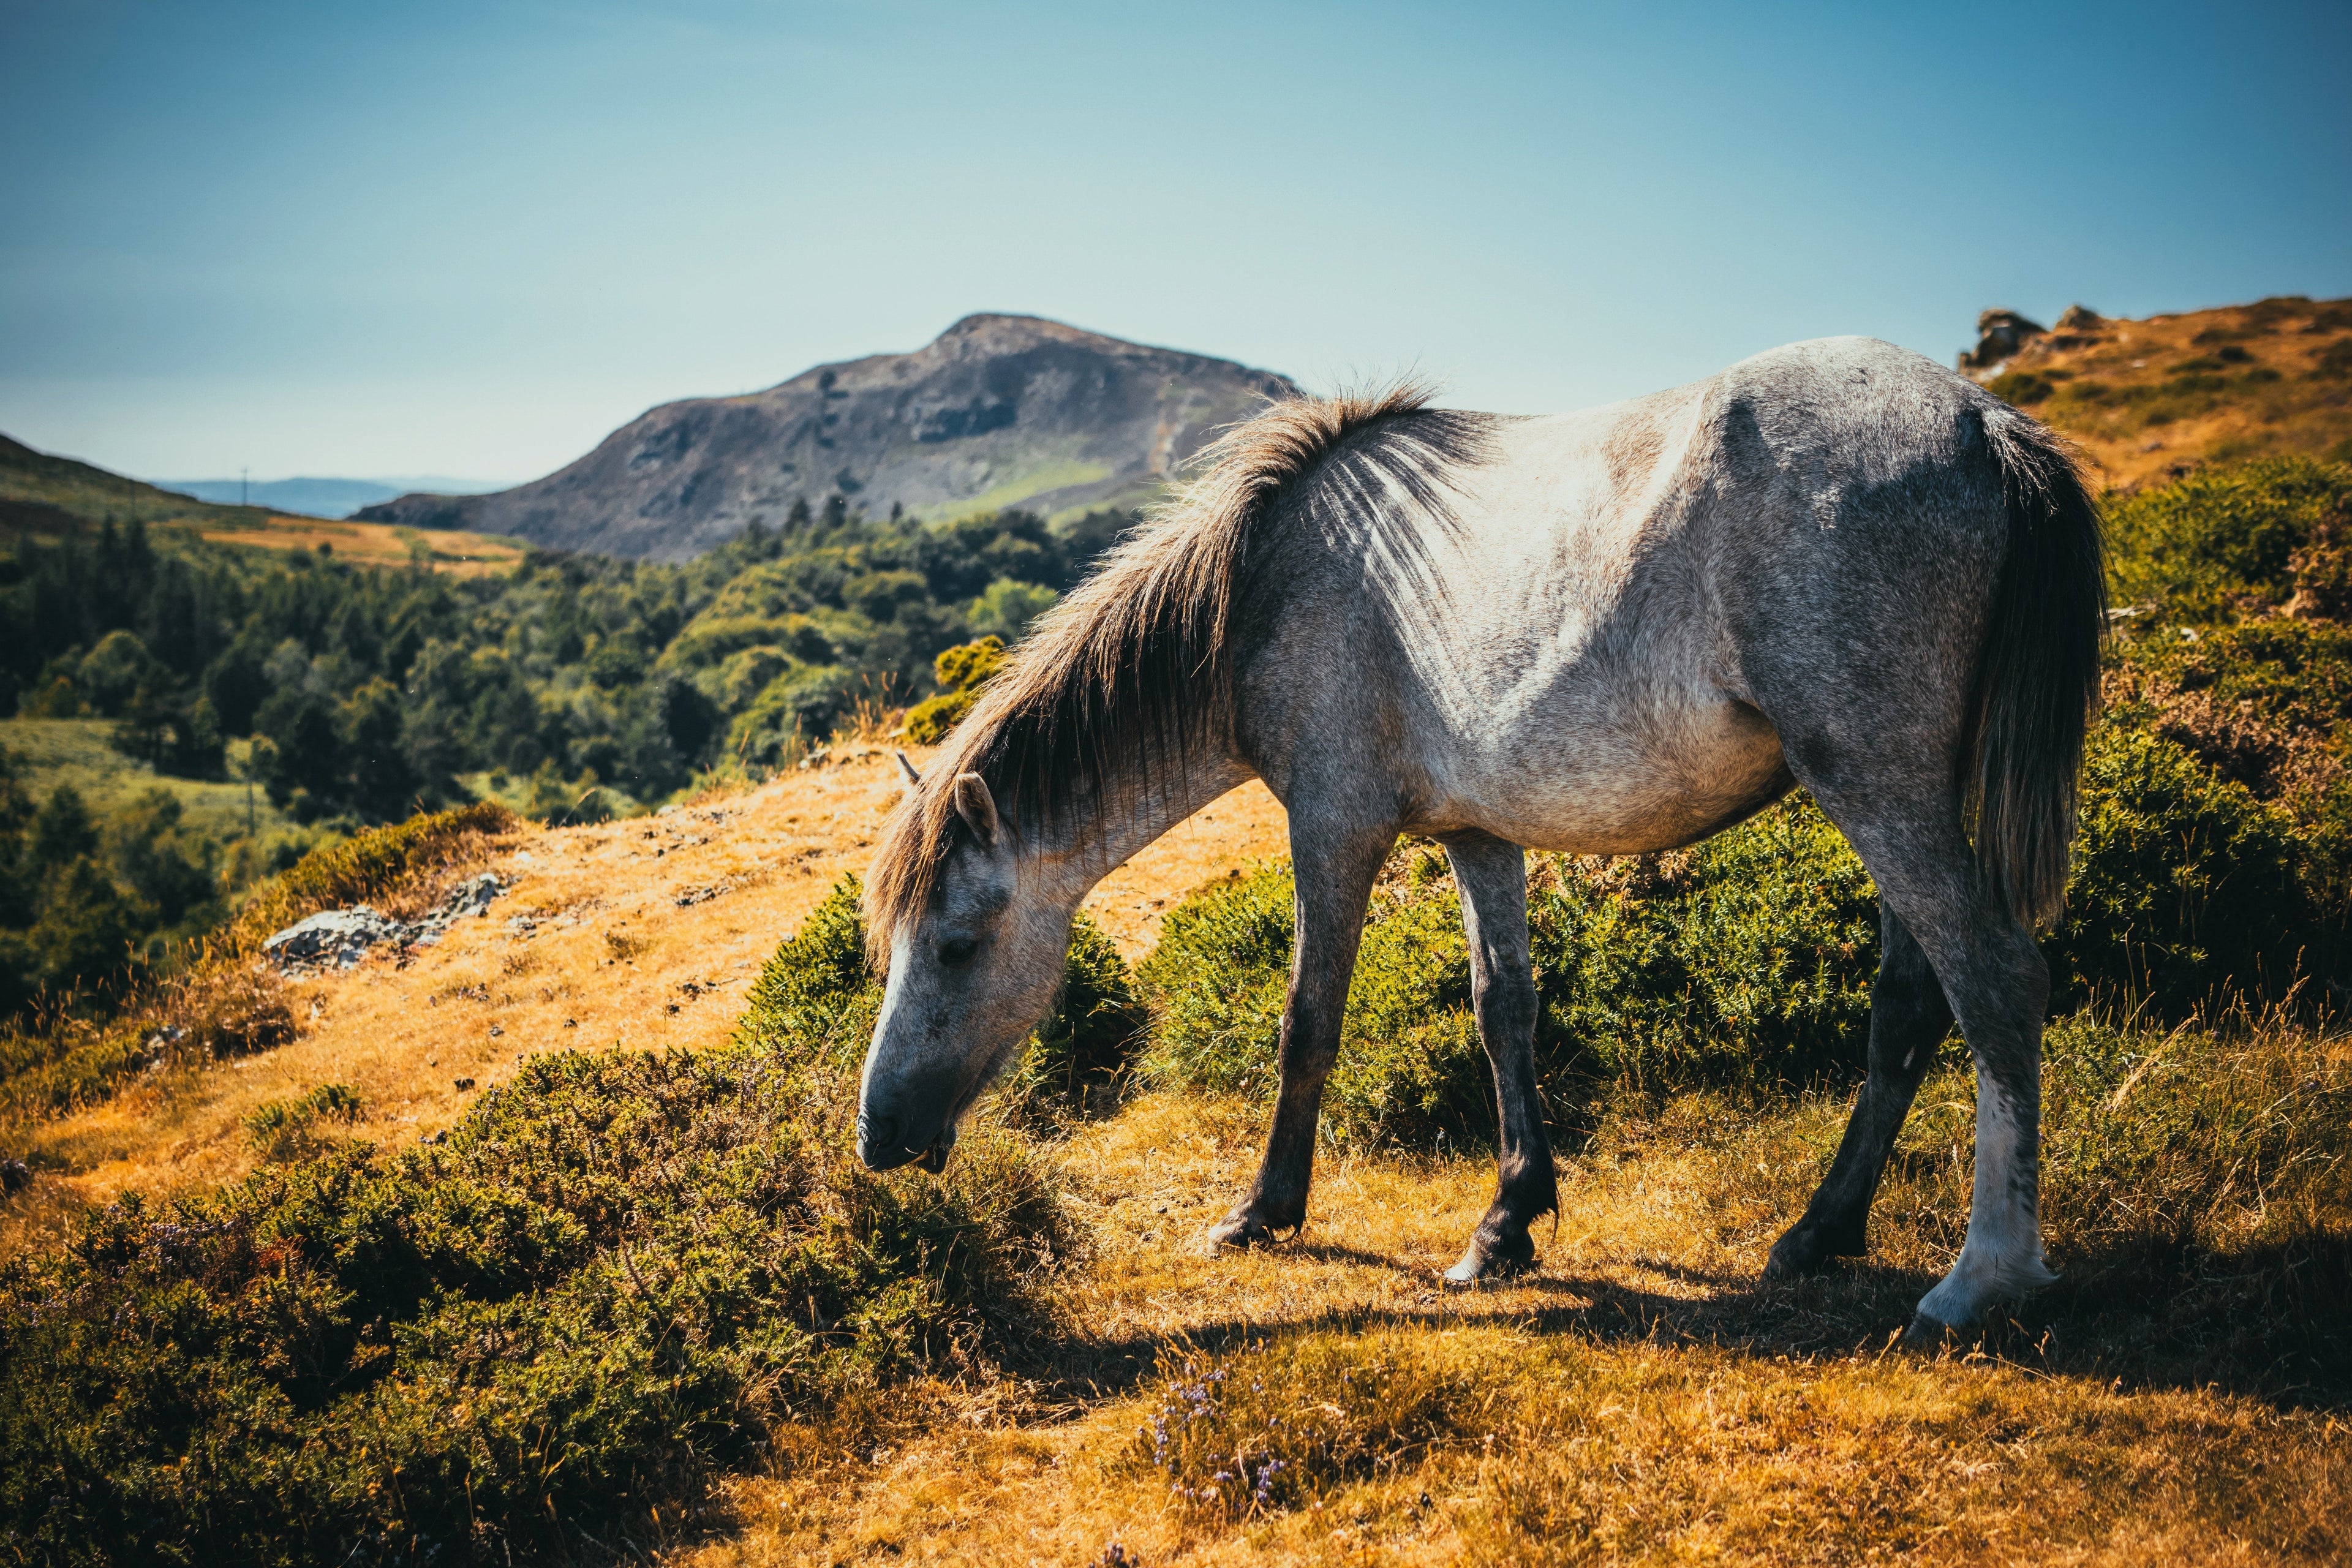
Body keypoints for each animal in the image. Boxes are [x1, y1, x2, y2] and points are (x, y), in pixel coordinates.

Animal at [854, 335, 2104, 1337]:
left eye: (958, 946)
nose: (879, 1138)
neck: (1269, 582)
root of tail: (1981, 423)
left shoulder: (1334, 829)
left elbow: (1307, 1021)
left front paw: (1263, 1211)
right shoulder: (1476, 834)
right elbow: (1504, 1009)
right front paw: (1507, 1224)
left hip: (1879, 787)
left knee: (1994, 980)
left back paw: (1983, 1278)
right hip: (1896, 796)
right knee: (1910, 1000)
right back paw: (1821, 1232)